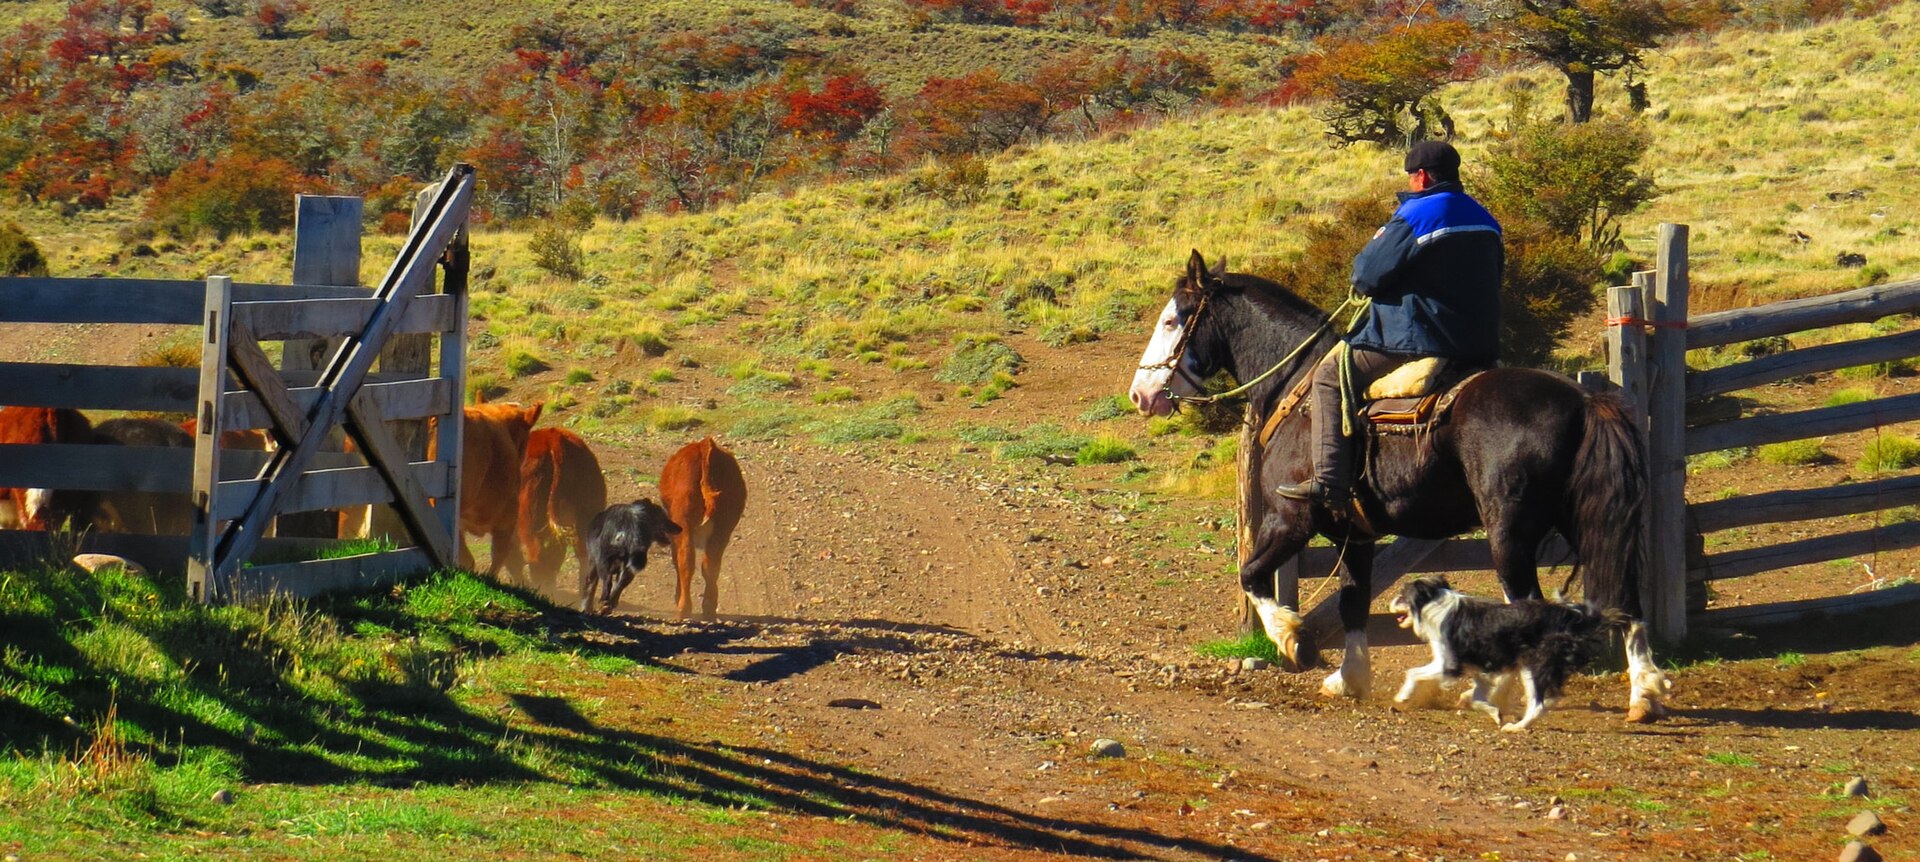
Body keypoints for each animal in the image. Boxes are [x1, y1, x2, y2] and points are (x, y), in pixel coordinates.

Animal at [659, 436, 747, 619]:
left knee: (686, 561)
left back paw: (683, 608)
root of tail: (704, 445)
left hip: (683, 524)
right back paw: (708, 609)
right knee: (711, 566)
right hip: (722, 529)